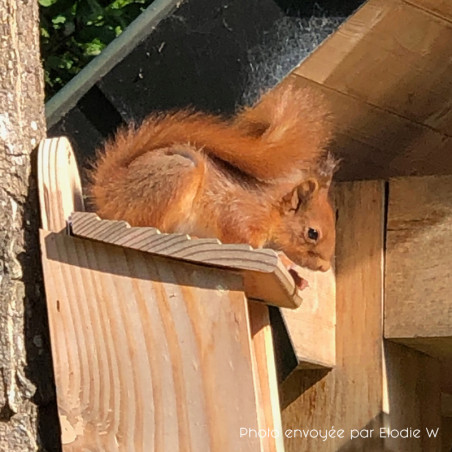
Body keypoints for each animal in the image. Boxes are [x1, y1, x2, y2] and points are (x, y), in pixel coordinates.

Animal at [90, 81, 336, 272]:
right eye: (312, 233)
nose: (324, 267)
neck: (271, 209)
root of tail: (110, 189)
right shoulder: (239, 214)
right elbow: (242, 239)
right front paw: (284, 262)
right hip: (174, 179)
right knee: (150, 225)